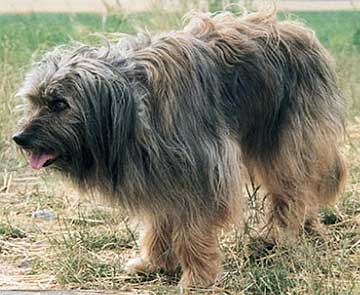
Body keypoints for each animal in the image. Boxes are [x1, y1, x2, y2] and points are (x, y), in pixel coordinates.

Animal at [13, 11, 346, 290]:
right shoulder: (159, 171)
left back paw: (278, 236)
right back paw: (307, 227)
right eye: (35, 101)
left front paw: (197, 277)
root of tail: (298, 30)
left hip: (284, 140)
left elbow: (191, 230)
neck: (134, 105)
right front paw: (154, 263)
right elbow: (159, 221)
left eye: (59, 104)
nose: (19, 138)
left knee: (290, 192)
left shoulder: (203, 172)